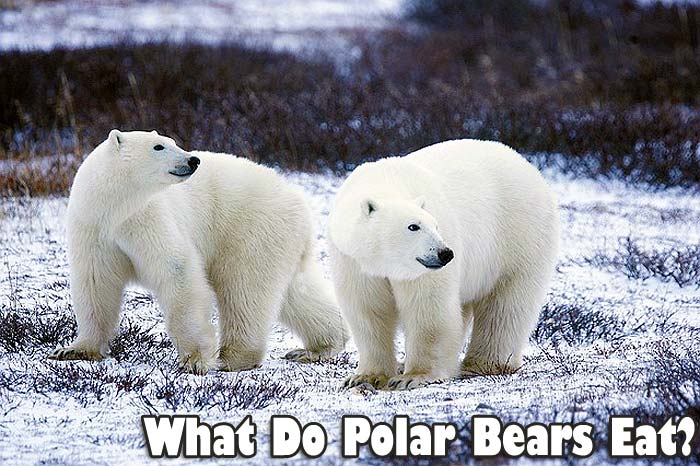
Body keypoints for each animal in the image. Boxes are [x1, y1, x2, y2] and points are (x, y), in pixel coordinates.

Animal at [50, 130, 348, 374]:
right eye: (159, 146)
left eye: (173, 141)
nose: (193, 160)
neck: (115, 208)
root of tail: (298, 199)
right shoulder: (93, 228)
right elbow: (95, 283)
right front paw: (74, 350)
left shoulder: (148, 218)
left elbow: (177, 271)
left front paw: (195, 360)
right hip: (280, 240)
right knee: (295, 292)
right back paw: (318, 347)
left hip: (250, 229)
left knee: (244, 289)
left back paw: (233, 357)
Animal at [328, 139, 559, 390]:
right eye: (413, 226)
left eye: (435, 225)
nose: (445, 253)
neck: (386, 181)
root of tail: (529, 166)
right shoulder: (353, 261)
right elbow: (368, 310)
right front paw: (365, 377)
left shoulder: (423, 269)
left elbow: (428, 308)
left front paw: (413, 376)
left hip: (518, 237)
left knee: (505, 305)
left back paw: (483, 364)